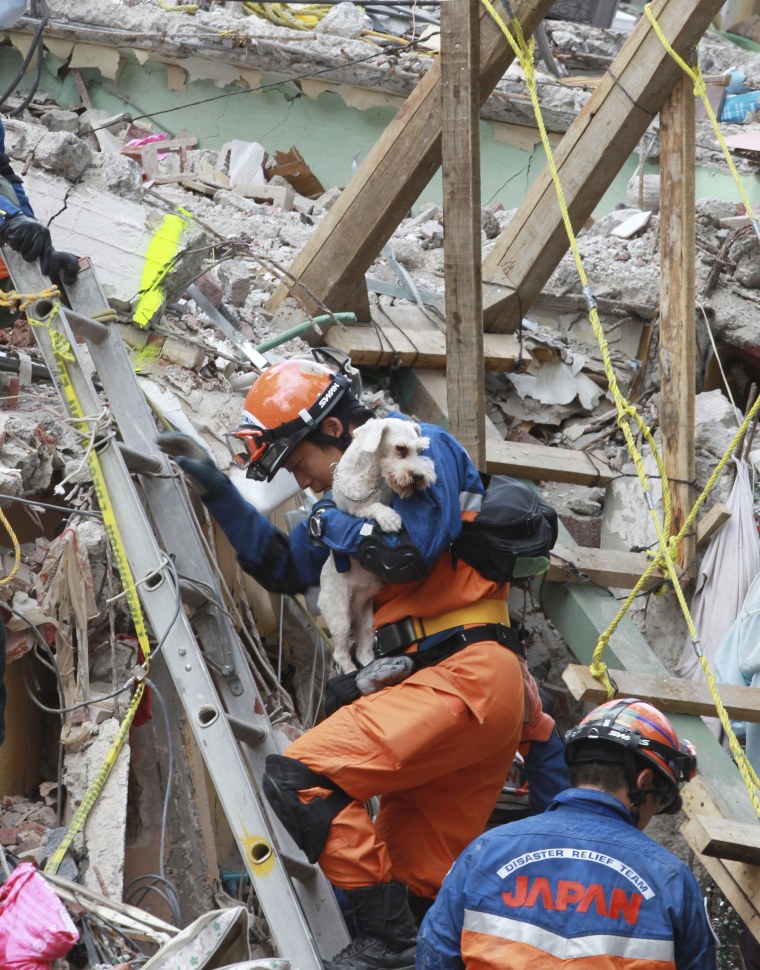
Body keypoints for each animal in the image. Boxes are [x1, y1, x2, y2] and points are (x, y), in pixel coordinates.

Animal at [318, 416, 436, 672]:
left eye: (420, 450)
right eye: (400, 448)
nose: (419, 477)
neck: (372, 472)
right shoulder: (356, 508)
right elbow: (373, 507)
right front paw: (389, 518)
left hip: (364, 619)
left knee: (363, 650)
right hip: (340, 616)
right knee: (341, 654)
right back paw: (351, 672)